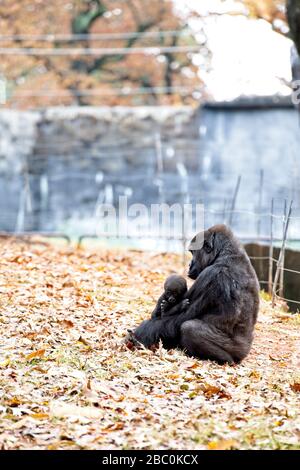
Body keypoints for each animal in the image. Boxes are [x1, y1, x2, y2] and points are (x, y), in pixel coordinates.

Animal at [131, 224, 260, 364]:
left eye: (193, 252)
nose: (189, 264)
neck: (226, 253)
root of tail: (246, 349)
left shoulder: (211, 275)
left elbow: (182, 317)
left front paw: (141, 333)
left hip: (237, 351)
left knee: (189, 328)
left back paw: (224, 359)